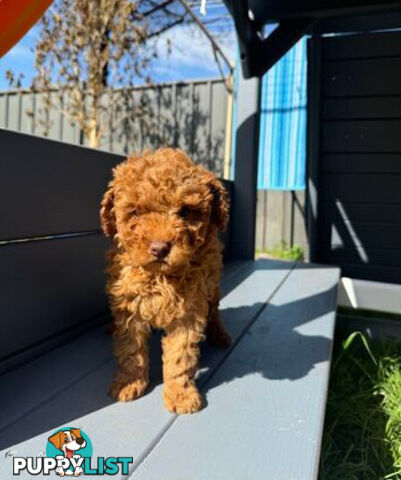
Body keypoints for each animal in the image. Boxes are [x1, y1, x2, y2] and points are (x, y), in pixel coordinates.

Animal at [101, 147, 231, 412]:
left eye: (185, 212)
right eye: (136, 212)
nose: (160, 248)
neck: (160, 276)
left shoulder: (189, 311)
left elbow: (180, 355)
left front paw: (180, 394)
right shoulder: (129, 306)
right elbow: (131, 349)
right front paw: (129, 382)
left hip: (212, 288)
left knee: (214, 311)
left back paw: (220, 335)